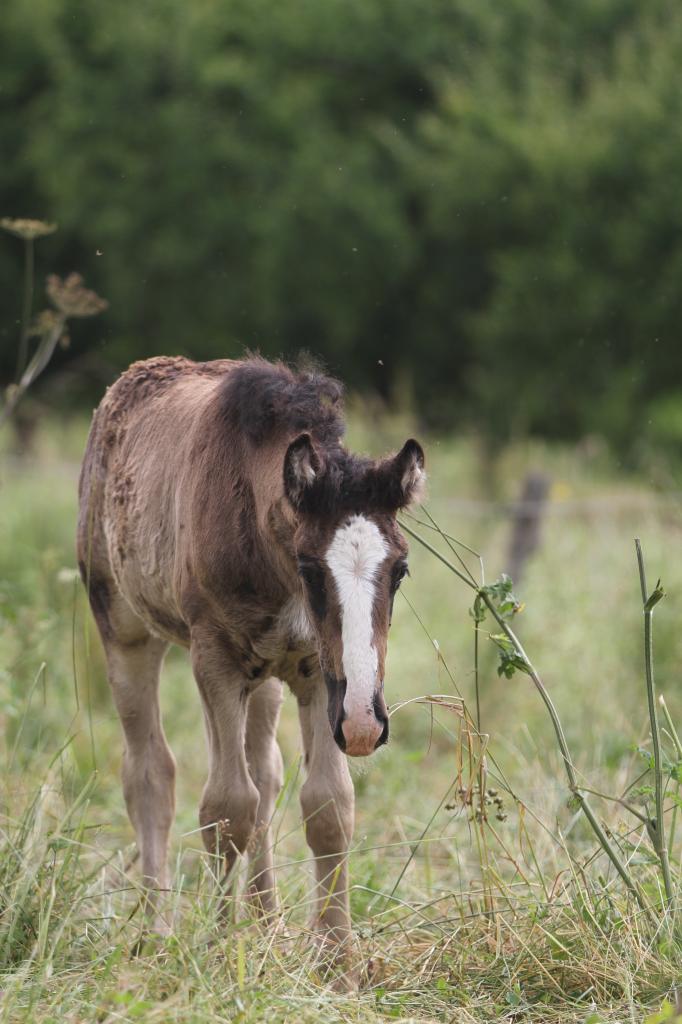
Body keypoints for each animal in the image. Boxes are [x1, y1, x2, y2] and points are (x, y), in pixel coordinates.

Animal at [76, 356, 421, 962]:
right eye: (309, 569)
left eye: (399, 571)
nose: (365, 725)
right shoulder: (215, 658)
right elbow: (226, 806)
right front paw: (220, 950)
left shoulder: (316, 672)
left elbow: (327, 806)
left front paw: (338, 961)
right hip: (125, 627)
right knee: (150, 771)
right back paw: (158, 932)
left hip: (266, 676)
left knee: (265, 770)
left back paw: (265, 923)